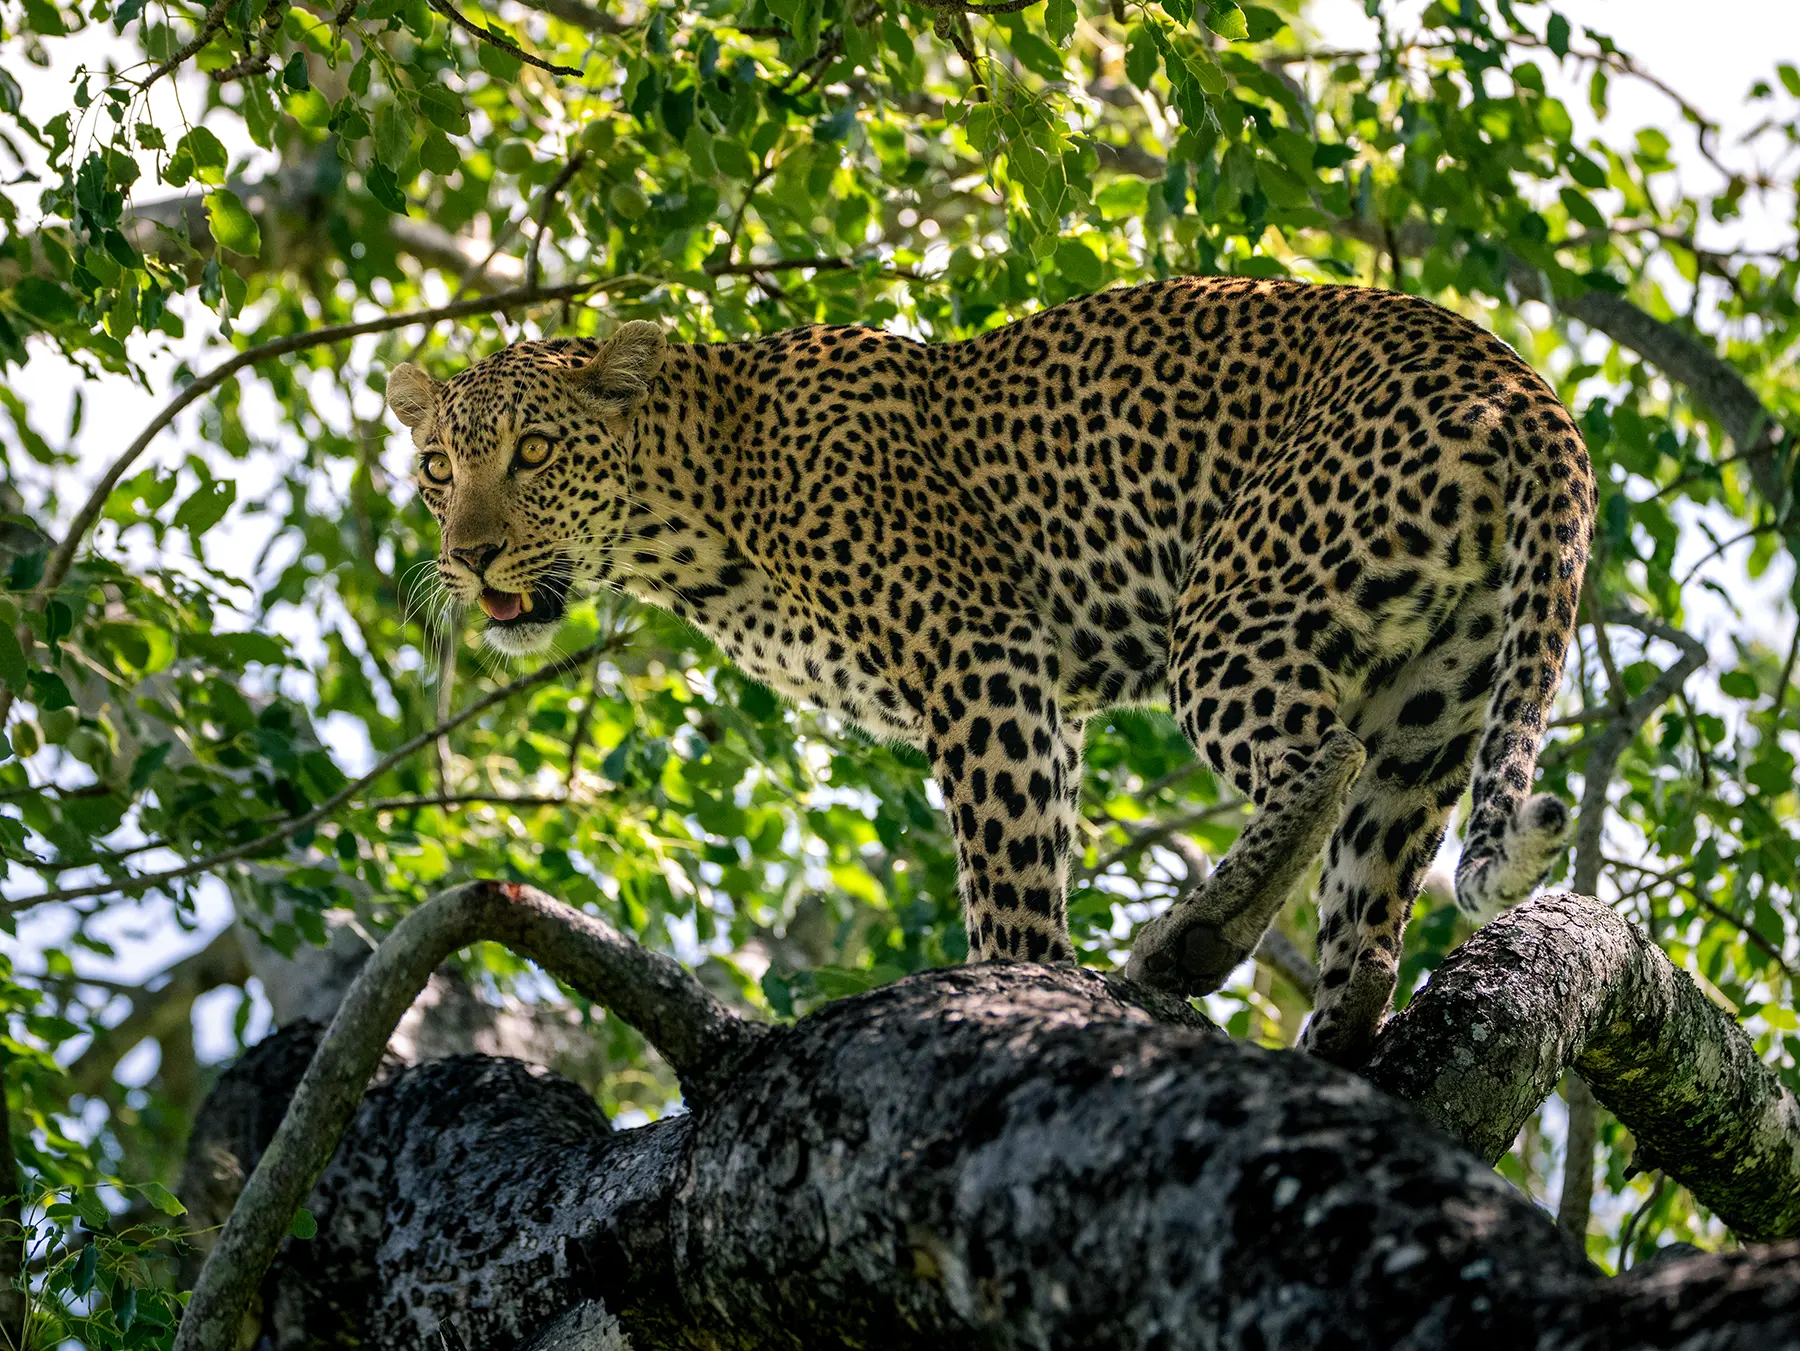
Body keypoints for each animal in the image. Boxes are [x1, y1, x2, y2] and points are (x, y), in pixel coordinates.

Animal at [385, 276, 1594, 1065]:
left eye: (536, 453)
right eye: (438, 468)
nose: (467, 554)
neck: (695, 507)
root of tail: (1520, 383)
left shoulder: (981, 650)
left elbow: (1006, 861)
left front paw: (1020, 985)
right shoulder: (1038, 689)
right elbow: (1040, 829)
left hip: (1235, 605)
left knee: (1322, 759)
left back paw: (1186, 946)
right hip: (1439, 690)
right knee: (1376, 880)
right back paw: (1335, 1035)